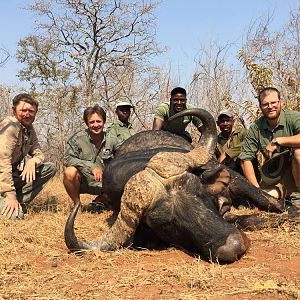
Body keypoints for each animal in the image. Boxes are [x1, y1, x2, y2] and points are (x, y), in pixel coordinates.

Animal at [64, 108, 284, 262]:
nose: (234, 246)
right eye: (167, 225)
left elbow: (270, 202)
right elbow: (248, 220)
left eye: (199, 193)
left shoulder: (235, 180)